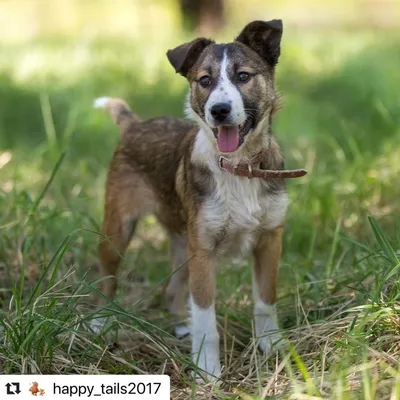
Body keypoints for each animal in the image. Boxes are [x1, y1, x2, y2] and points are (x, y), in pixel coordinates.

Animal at [94, 20, 306, 382]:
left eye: (243, 76)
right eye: (204, 81)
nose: (219, 111)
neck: (239, 168)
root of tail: (135, 125)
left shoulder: (269, 239)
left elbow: (265, 301)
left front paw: (273, 347)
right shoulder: (204, 251)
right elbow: (207, 318)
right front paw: (208, 373)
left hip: (183, 242)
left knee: (171, 290)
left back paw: (182, 327)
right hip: (119, 228)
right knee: (107, 276)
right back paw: (100, 321)